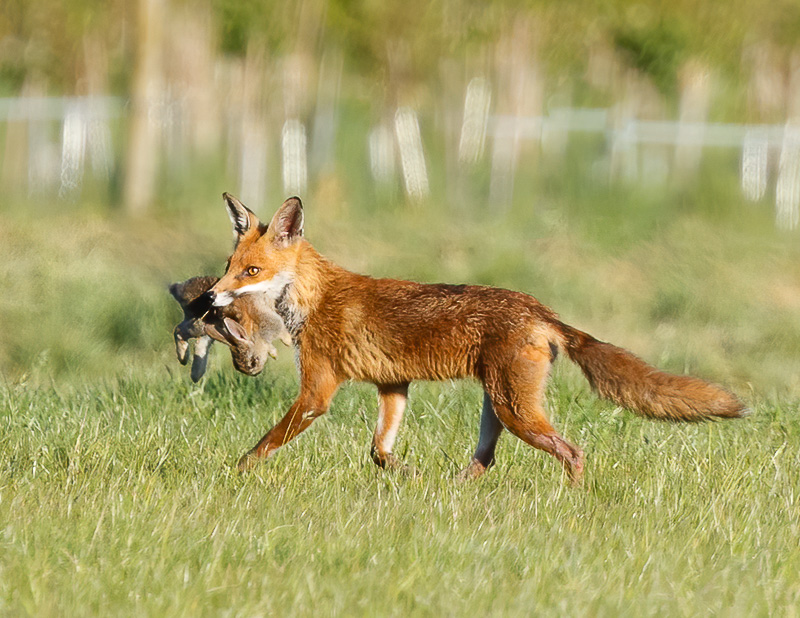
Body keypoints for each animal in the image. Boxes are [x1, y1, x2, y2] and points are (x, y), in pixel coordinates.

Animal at [194, 193, 747, 481]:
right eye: (228, 265)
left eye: (251, 271)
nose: (211, 298)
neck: (314, 296)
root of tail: (541, 310)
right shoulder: (394, 386)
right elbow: (379, 450)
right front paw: (405, 476)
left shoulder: (317, 391)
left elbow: (262, 446)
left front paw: (234, 476)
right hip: (496, 407)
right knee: (485, 460)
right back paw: (454, 492)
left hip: (513, 409)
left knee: (572, 452)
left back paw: (574, 503)